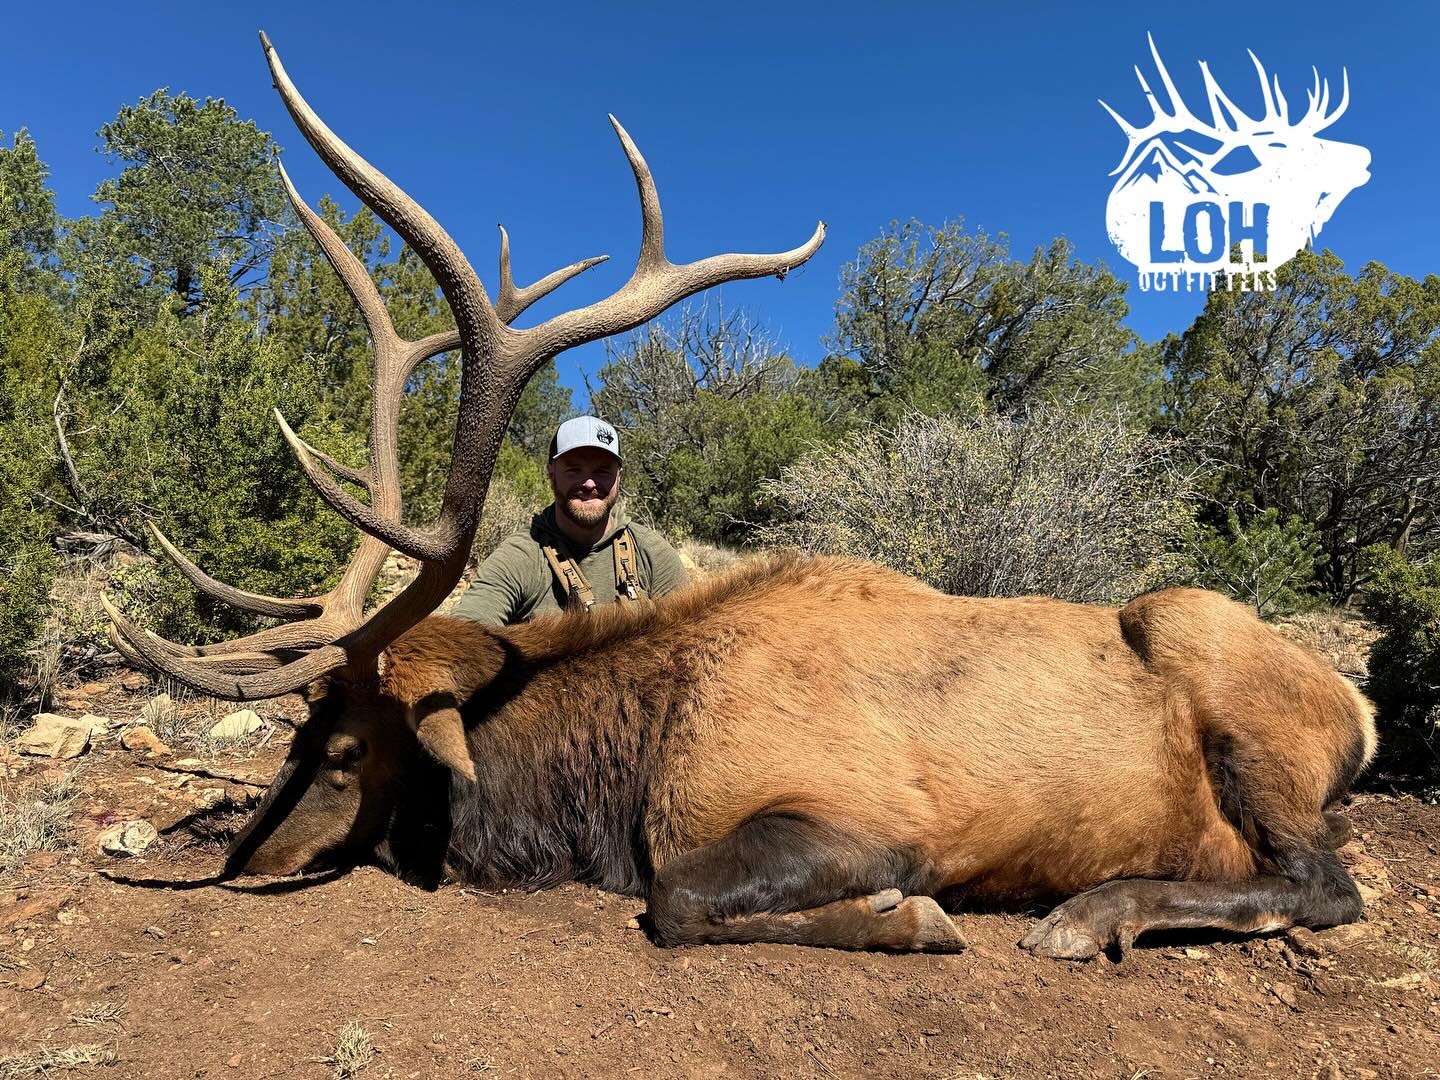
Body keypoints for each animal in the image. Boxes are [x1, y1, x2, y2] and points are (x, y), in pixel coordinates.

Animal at [104, 32, 1376, 960]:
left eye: (345, 751)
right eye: (293, 736)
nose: (242, 860)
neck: (605, 777)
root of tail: (1357, 715)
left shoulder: (852, 817)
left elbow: (676, 899)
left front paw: (912, 918)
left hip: (1213, 658)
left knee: (1324, 887)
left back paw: (1089, 912)